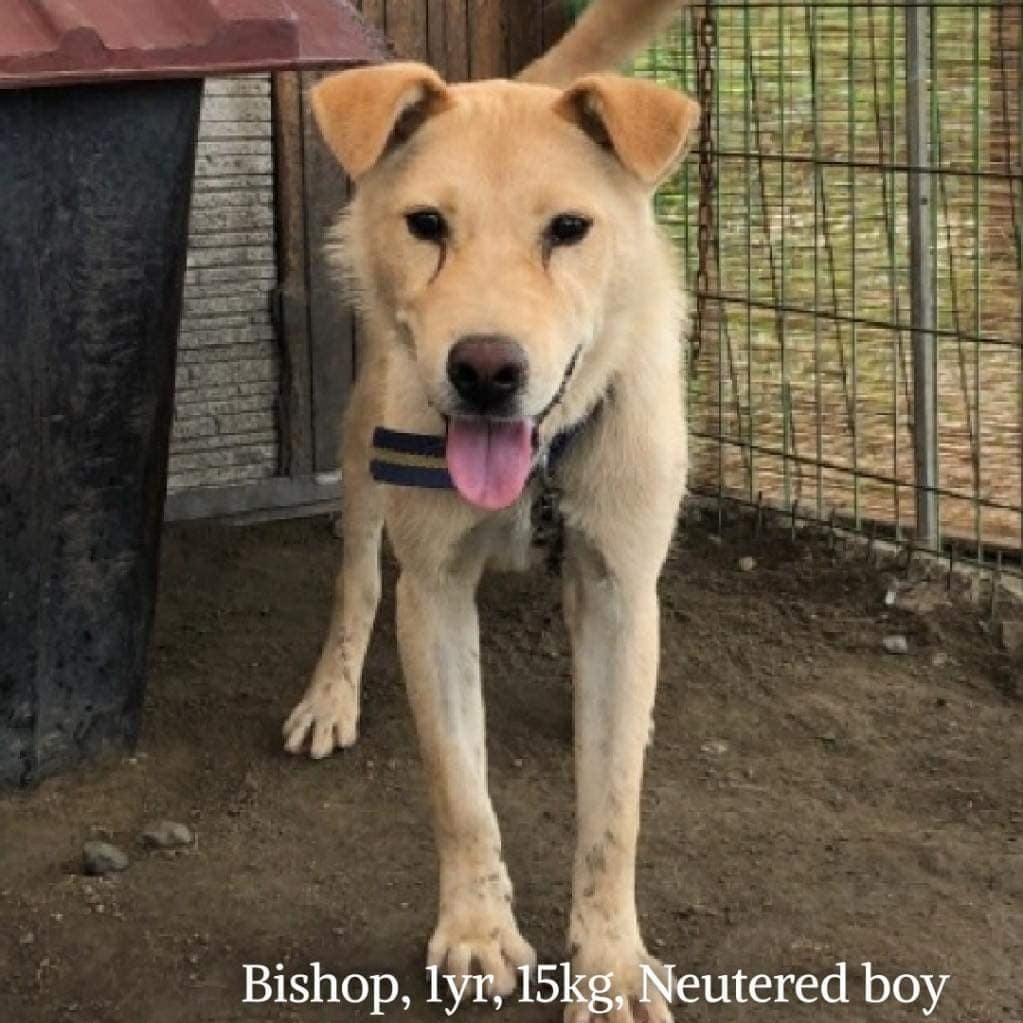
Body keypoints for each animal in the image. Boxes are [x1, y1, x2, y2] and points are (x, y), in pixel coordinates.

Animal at [284, 3, 703, 1018]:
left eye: (569, 228)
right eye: (428, 224)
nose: (484, 369)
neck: (540, 461)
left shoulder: (621, 588)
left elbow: (613, 812)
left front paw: (611, 961)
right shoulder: (433, 593)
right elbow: (460, 788)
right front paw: (476, 929)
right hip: (362, 449)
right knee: (355, 580)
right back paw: (329, 692)